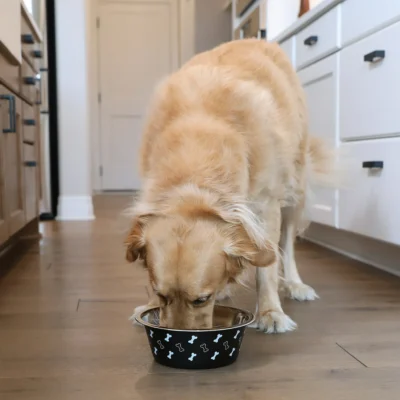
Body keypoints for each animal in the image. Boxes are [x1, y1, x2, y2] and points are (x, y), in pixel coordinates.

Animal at [125, 39, 334, 332]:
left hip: (294, 187)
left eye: (201, 299)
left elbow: (267, 268)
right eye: (160, 294)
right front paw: (147, 307)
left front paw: (270, 312)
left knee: (288, 246)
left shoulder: (266, 207)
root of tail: (261, 40)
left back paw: (295, 284)